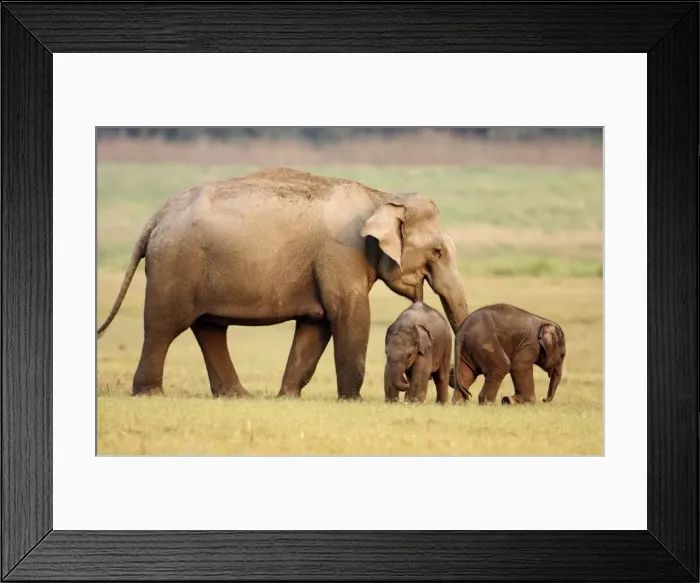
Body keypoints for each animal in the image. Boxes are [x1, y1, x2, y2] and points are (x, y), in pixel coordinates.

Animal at [97, 167, 469, 401]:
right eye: (436, 252)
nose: (453, 379)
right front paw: (353, 400)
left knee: (209, 329)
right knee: (164, 327)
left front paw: (287, 396)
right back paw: (150, 394)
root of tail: (156, 217)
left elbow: (316, 325)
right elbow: (349, 316)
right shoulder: (341, 253)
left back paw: (237, 396)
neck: (381, 197)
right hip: (175, 266)